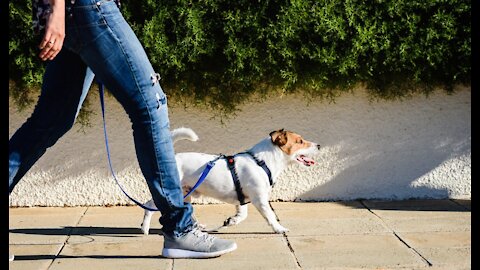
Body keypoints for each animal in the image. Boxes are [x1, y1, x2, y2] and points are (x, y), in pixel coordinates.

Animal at [142, 127, 322, 234]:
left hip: (186, 193)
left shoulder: (242, 199)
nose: (320, 145)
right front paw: (279, 228)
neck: (262, 161)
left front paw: (231, 221)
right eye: (300, 141)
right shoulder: (260, 199)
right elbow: (270, 216)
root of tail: (173, 159)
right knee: (149, 206)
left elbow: (242, 214)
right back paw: (144, 228)